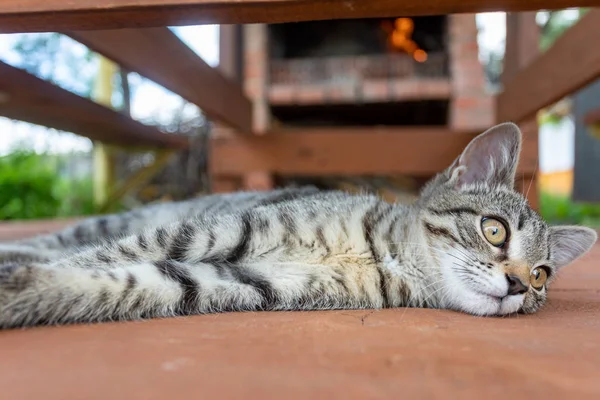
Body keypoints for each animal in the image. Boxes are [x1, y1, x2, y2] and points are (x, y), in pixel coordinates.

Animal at [0, 122, 596, 328]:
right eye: (495, 230)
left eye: (541, 276)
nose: (518, 285)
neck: (378, 254)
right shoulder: (209, 233)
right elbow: (102, 259)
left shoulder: (245, 283)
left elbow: (124, 282)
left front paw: (33, 295)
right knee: (60, 241)